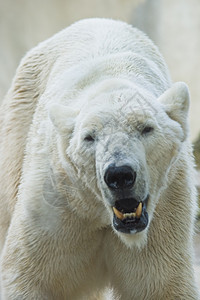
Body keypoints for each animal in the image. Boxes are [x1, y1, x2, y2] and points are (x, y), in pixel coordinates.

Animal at [0, 19, 200, 300]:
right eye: (89, 137)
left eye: (146, 128)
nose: (119, 174)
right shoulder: (58, 203)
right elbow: (30, 274)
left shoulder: (166, 211)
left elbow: (161, 285)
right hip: (18, 126)